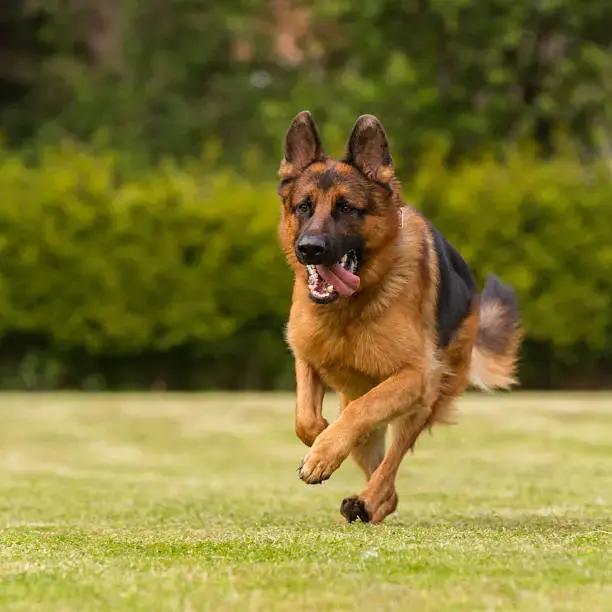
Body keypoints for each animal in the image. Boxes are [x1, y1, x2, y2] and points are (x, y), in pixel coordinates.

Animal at [278, 110, 520, 520]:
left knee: (390, 461)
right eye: (304, 207)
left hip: (424, 400)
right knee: (379, 465)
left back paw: (369, 500)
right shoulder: (306, 356)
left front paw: (323, 454)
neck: (350, 310)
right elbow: (307, 420)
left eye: (347, 208)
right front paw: (321, 440)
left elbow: (362, 411)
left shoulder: (414, 377)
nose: (310, 248)